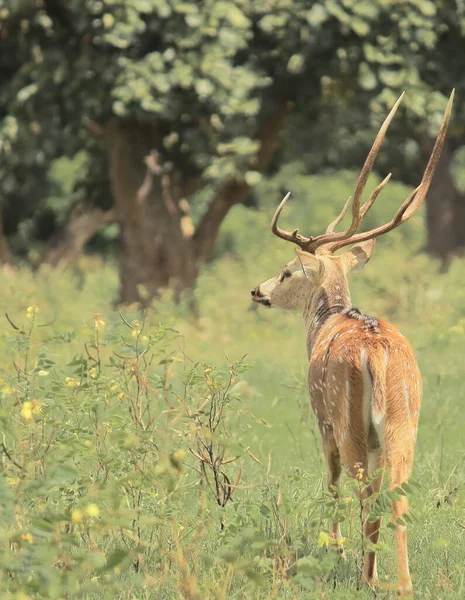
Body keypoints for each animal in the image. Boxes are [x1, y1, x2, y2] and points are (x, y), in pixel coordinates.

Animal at [250, 91, 454, 592]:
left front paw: (335, 547)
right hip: (404, 421)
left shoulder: (320, 418)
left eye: (286, 271)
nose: (257, 290)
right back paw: (401, 582)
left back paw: (368, 575)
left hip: (347, 419)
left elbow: (330, 481)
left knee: (361, 488)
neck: (328, 319)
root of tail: (375, 352)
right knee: (396, 495)